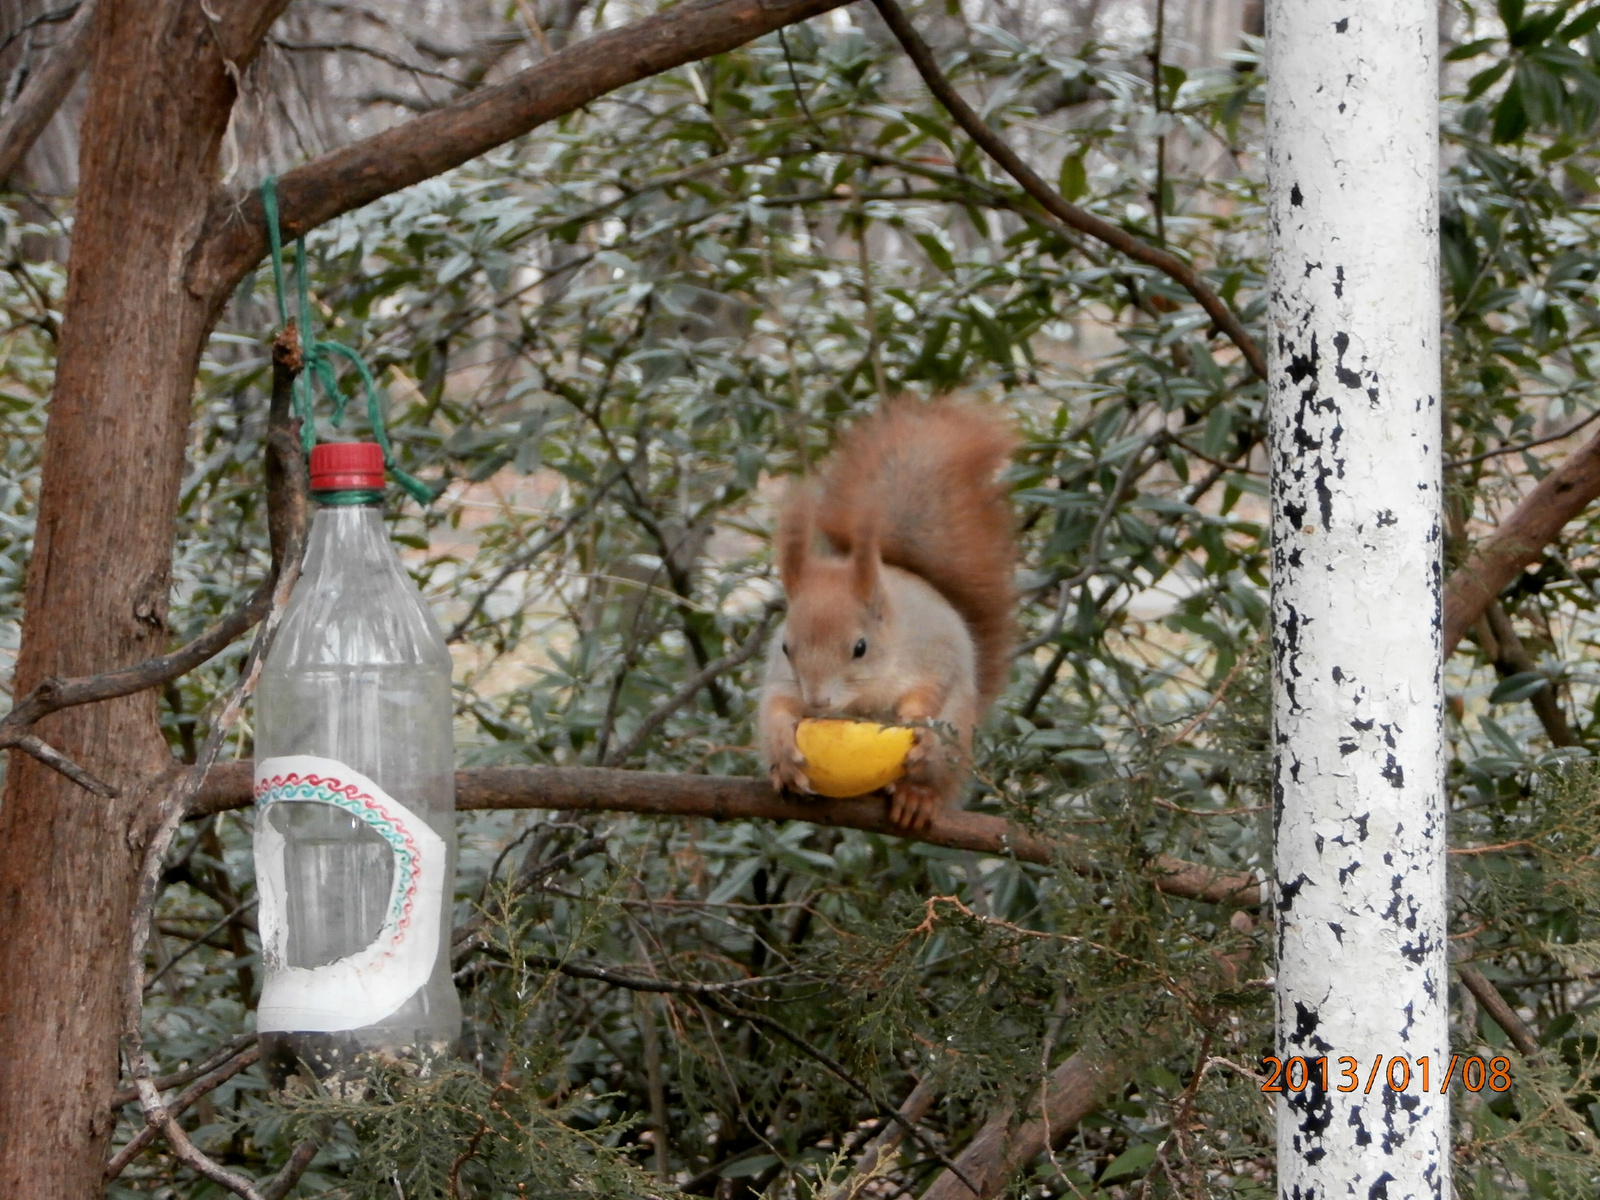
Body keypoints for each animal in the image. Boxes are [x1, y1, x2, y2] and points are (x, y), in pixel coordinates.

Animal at [758, 400, 1011, 832]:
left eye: (860, 647)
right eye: (787, 647)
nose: (818, 701)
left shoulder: (933, 651)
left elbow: (931, 689)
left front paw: (919, 723)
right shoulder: (781, 674)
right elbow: (777, 704)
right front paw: (782, 748)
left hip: (957, 734)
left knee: (937, 778)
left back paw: (918, 797)